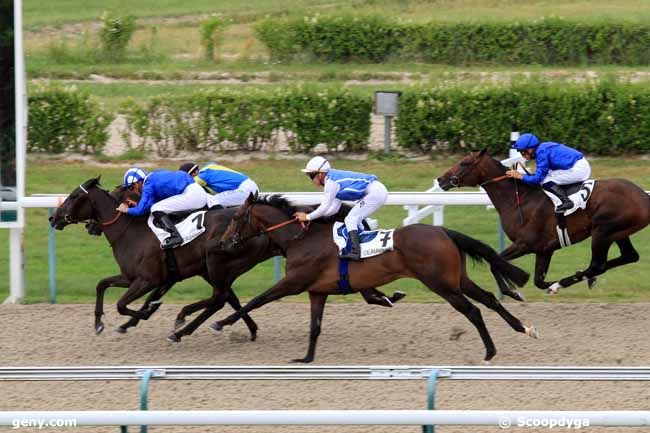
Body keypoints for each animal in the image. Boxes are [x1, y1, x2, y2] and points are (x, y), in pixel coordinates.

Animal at [213, 194, 536, 362]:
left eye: (236, 218)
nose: (224, 243)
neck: (301, 239)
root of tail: (443, 231)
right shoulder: (317, 291)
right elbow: (315, 326)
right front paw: (306, 358)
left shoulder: (293, 283)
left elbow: (257, 300)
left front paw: (221, 323)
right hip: (457, 278)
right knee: (489, 299)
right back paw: (523, 328)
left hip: (441, 284)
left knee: (472, 310)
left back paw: (490, 351)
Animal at [436, 149, 648, 294]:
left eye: (464, 163)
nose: (440, 179)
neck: (519, 199)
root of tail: (644, 197)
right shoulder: (544, 249)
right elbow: (538, 280)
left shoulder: (524, 244)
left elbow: (495, 262)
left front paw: (510, 291)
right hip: (618, 232)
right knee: (629, 256)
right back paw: (583, 278)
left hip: (602, 231)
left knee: (597, 265)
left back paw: (564, 283)